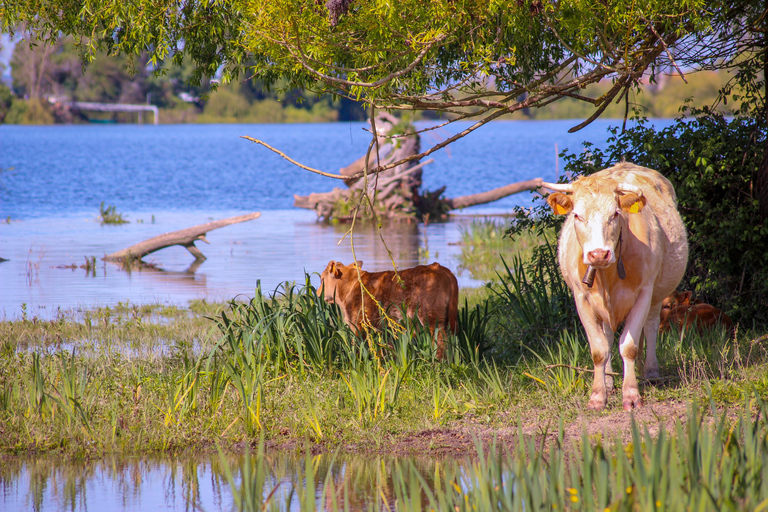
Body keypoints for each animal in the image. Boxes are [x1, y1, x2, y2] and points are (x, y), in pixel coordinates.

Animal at [316, 262, 460, 358]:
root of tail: (438, 267)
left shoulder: (358, 324)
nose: (317, 293)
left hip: (431, 318)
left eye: (322, 279)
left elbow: (357, 347)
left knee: (440, 341)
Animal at [540, 164, 688, 412]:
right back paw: (609, 379)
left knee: (650, 326)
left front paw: (631, 395)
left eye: (615, 214)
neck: (607, 276)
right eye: (577, 215)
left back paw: (650, 372)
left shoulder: (644, 293)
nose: (599, 254)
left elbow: (629, 346)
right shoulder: (581, 298)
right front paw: (598, 395)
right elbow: (599, 349)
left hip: (658, 294)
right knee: (608, 336)